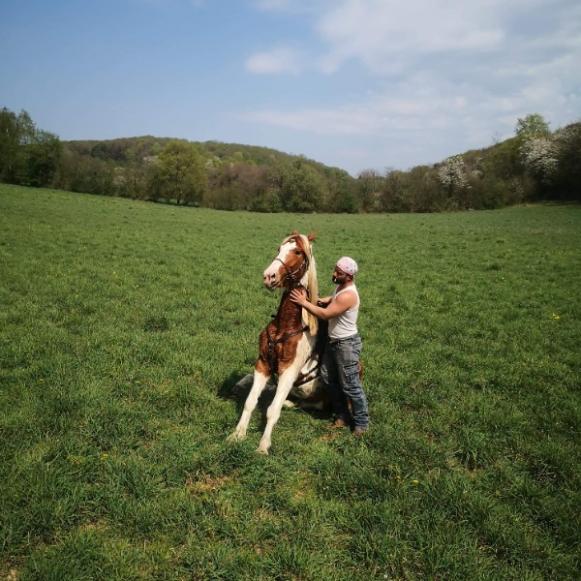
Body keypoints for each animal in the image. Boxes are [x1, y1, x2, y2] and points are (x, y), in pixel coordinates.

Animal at [228, 231, 326, 454]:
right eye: (279, 249)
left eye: (297, 252)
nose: (269, 276)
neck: (286, 325)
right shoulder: (263, 364)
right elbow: (250, 401)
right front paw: (237, 434)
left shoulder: (288, 372)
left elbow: (272, 410)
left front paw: (263, 446)